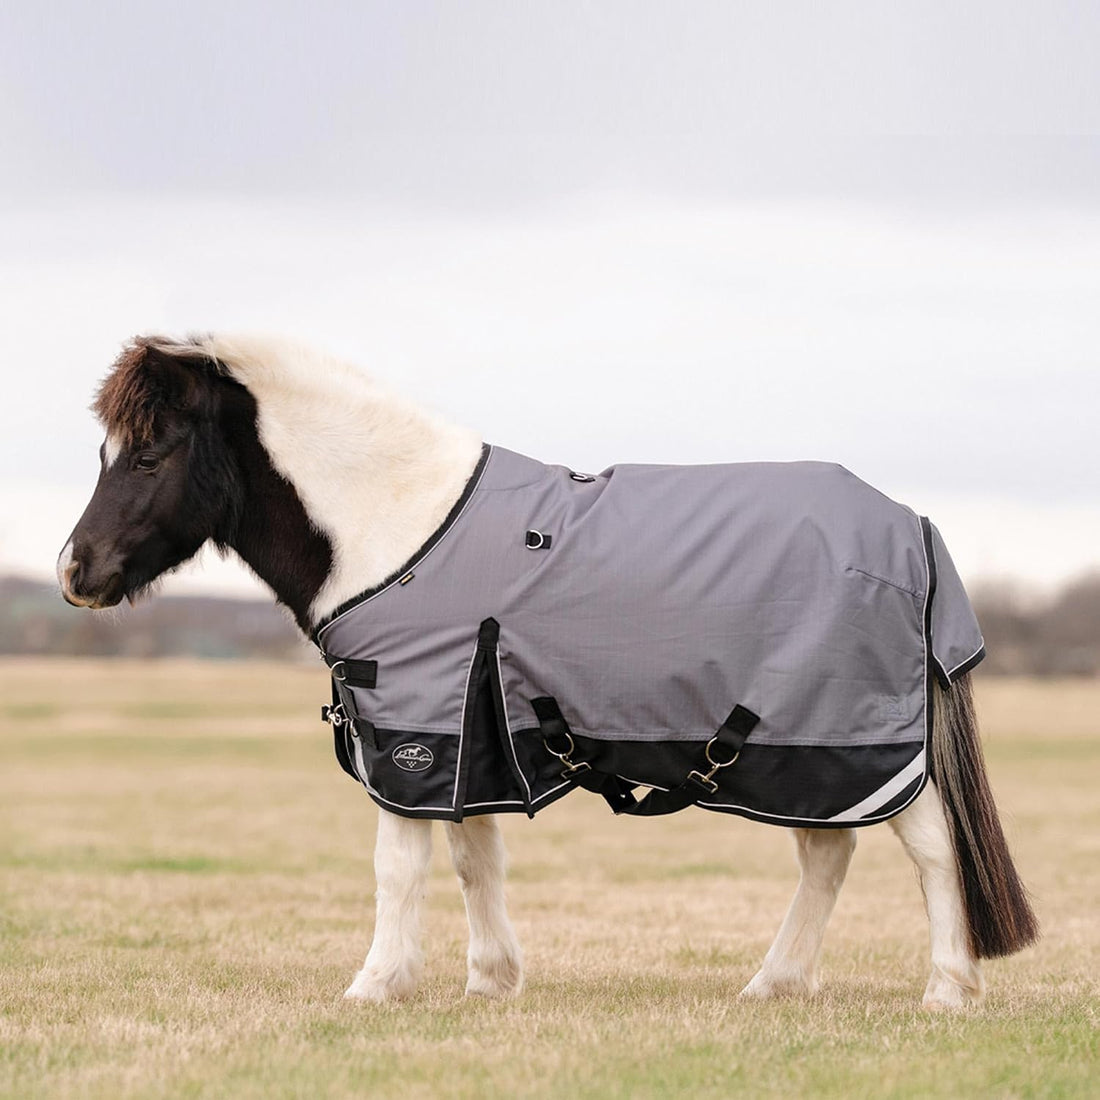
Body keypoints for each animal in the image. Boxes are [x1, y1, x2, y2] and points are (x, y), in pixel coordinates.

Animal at [58, 333, 1038, 1009]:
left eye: (149, 454)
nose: (76, 571)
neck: (398, 522)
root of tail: (910, 525)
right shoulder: (468, 728)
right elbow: (473, 857)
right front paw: (490, 980)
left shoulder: (415, 724)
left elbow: (399, 864)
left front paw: (375, 986)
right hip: (800, 756)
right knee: (827, 851)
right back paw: (774, 985)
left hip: (856, 746)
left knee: (930, 848)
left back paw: (947, 990)